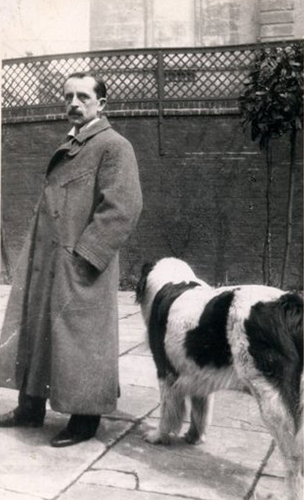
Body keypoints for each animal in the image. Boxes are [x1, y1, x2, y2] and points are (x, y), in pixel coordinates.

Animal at [137, 258, 302, 500]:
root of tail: (287, 303)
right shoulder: (198, 376)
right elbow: (200, 411)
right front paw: (194, 437)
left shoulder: (166, 373)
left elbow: (168, 412)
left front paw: (158, 436)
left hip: (274, 400)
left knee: (293, 456)